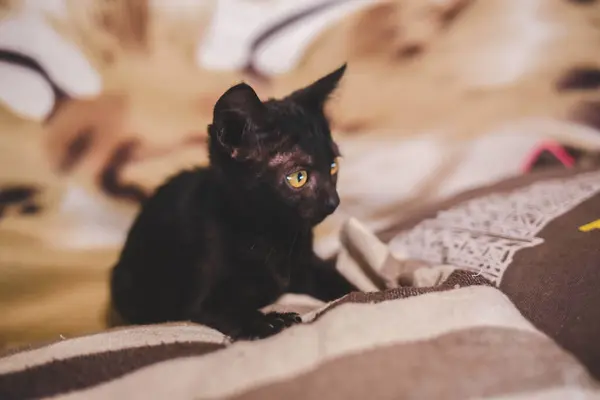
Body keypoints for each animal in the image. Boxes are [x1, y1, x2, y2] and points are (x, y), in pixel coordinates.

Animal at [110, 65, 356, 340]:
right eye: (298, 177)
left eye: (333, 166)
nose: (333, 201)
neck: (272, 235)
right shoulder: (202, 299)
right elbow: (233, 310)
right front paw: (271, 321)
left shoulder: (308, 264)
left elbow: (341, 282)